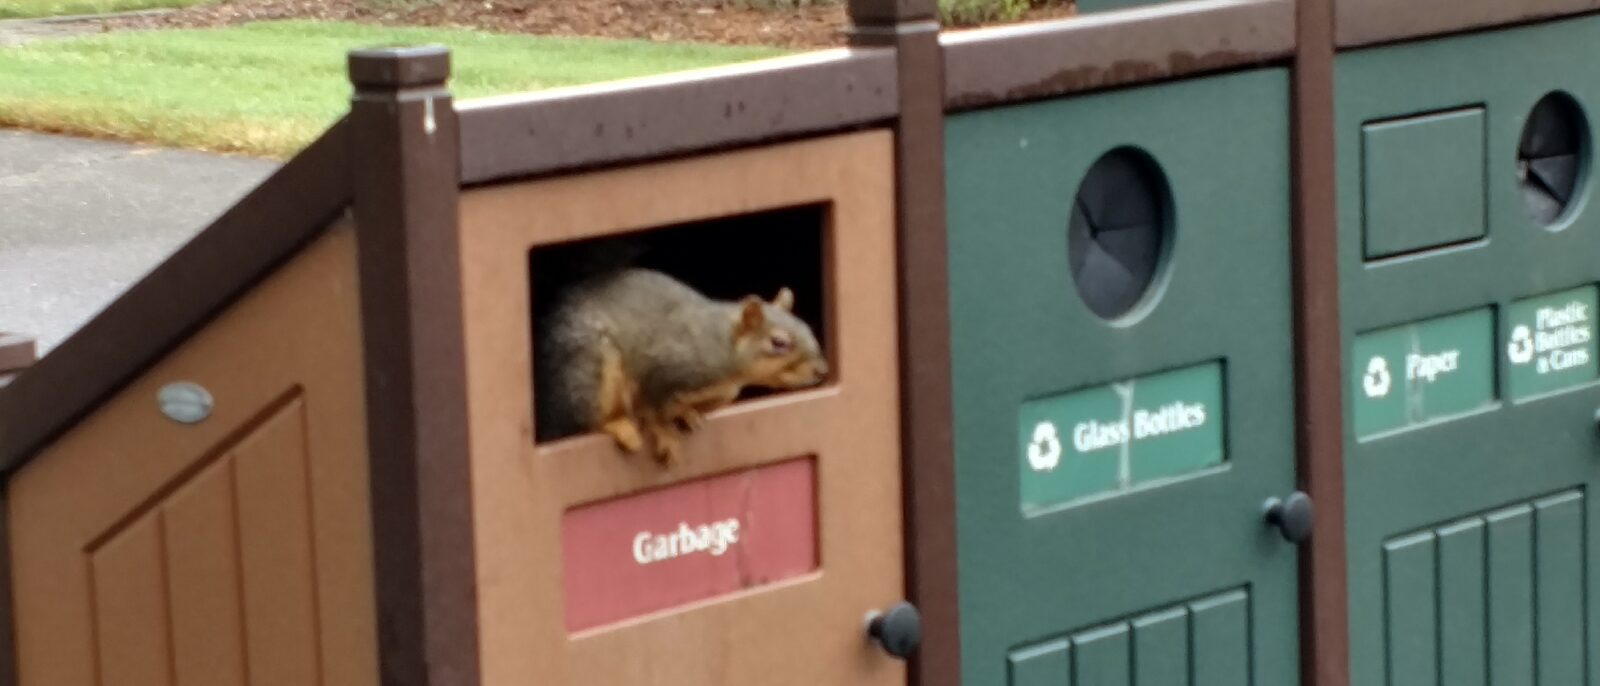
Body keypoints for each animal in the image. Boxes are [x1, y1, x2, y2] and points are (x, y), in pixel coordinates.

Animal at [535, 266, 829, 467]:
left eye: (807, 327)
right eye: (779, 342)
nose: (822, 371)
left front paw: (686, 413)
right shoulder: (662, 369)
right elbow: (652, 410)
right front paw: (666, 437)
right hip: (591, 373)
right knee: (586, 418)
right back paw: (621, 426)